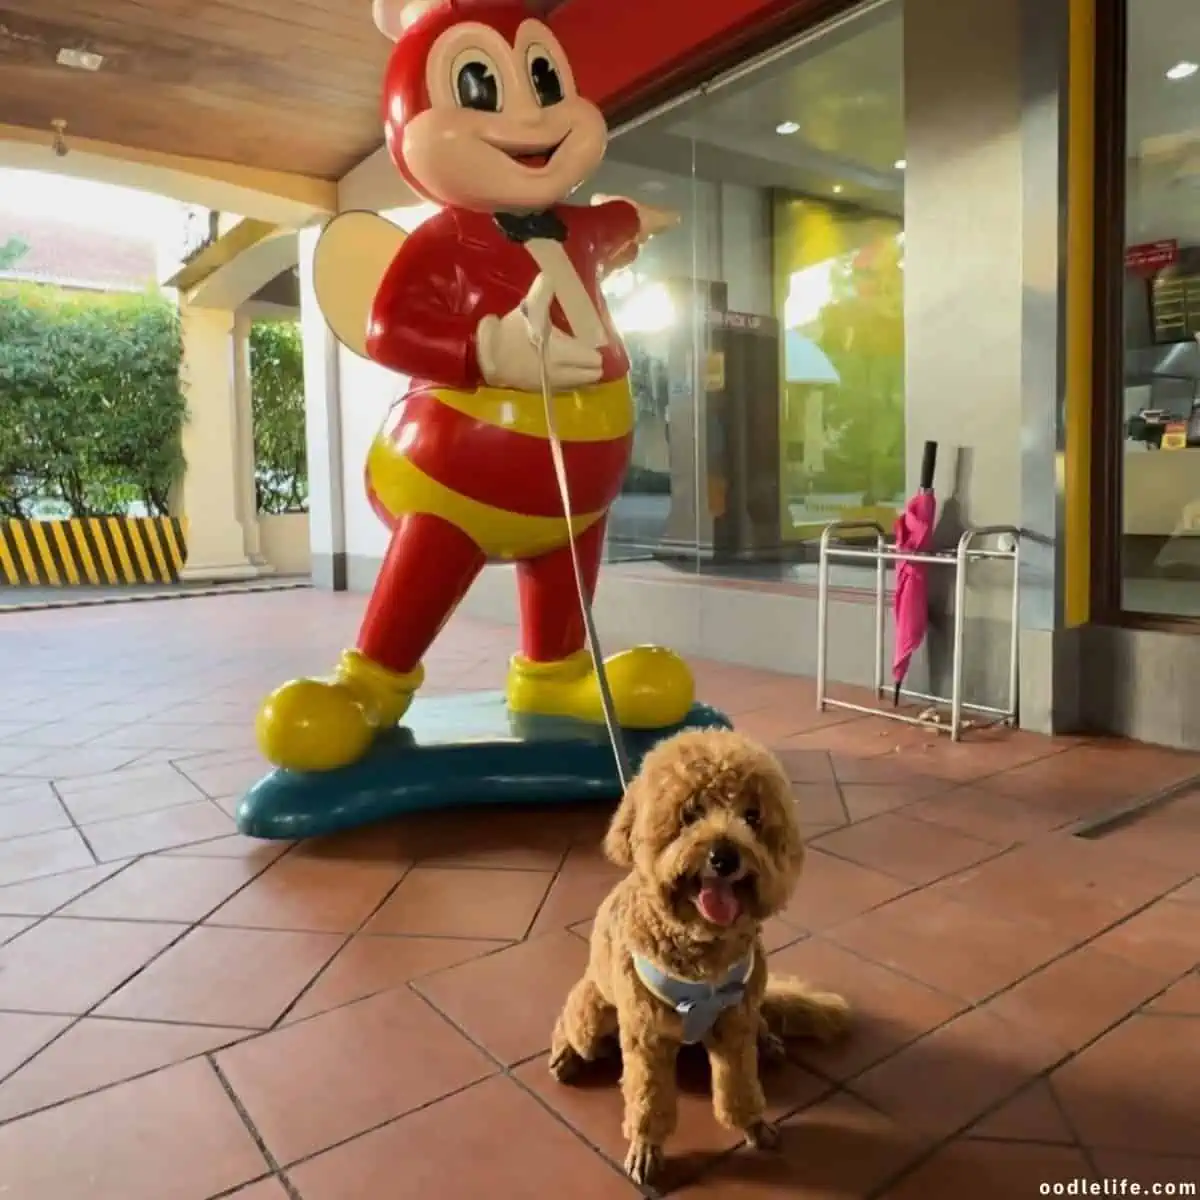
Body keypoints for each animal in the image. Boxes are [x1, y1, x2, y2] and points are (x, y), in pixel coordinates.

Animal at [549, 724, 849, 1185]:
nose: (724, 857)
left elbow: (738, 1086)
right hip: (592, 1009)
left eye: (752, 817)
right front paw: (646, 1147)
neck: (701, 953)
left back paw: (769, 1039)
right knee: (570, 1024)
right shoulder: (646, 1035)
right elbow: (648, 1099)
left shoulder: (735, 1023)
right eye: (689, 813)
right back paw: (566, 1055)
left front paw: (753, 1124)